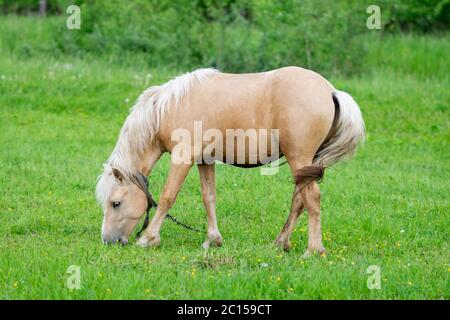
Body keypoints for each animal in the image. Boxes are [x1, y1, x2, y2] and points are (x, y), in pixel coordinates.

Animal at [96, 66, 366, 256]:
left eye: (116, 203)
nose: (108, 241)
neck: (169, 107)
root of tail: (330, 91)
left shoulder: (183, 157)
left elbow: (167, 197)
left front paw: (148, 239)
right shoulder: (204, 160)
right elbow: (209, 197)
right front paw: (212, 240)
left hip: (299, 158)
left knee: (312, 199)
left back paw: (313, 249)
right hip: (304, 165)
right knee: (299, 200)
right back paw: (281, 242)